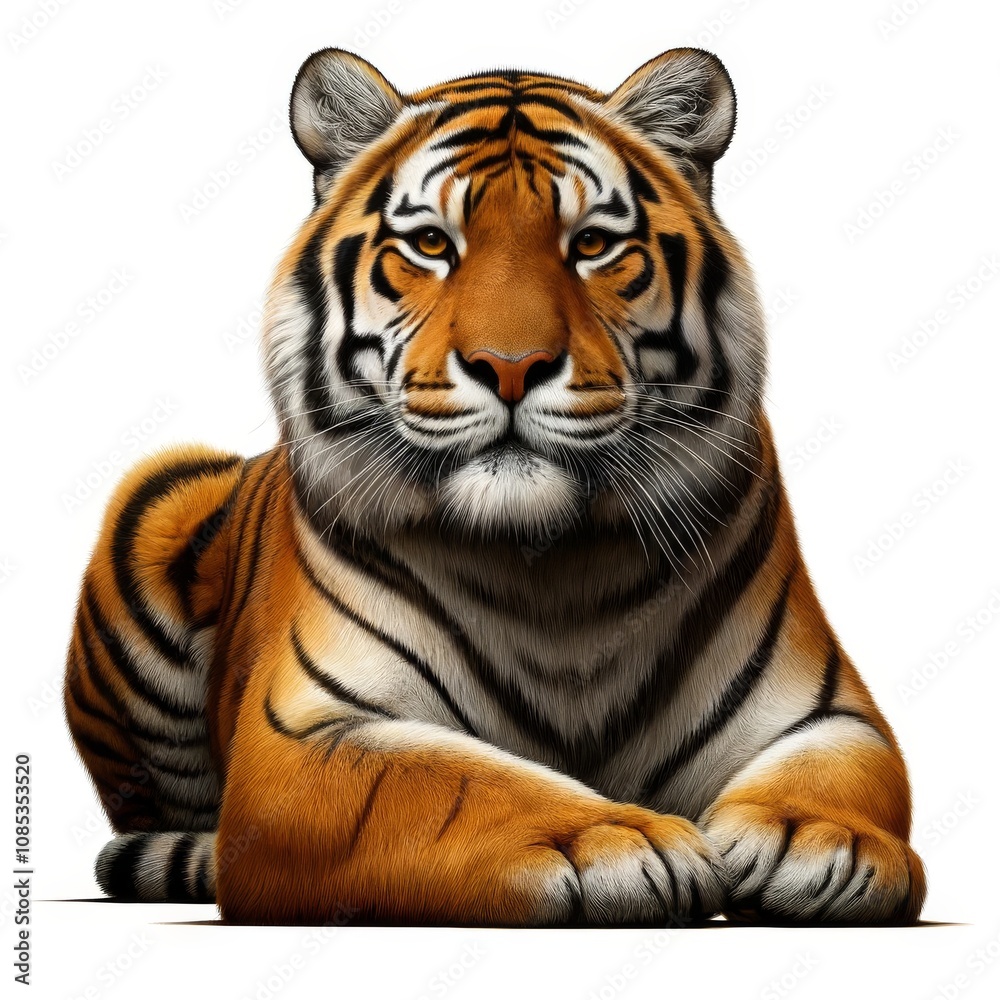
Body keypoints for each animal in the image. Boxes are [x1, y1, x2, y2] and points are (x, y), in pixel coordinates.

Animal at [64, 46, 926, 926]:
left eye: (592, 244)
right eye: (431, 243)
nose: (511, 365)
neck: (551, 567)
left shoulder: (828, 712)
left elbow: (843, 772)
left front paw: (812, 836)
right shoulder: (304, 736)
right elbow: (458, 783)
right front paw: (619, 839)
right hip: (157, 495)